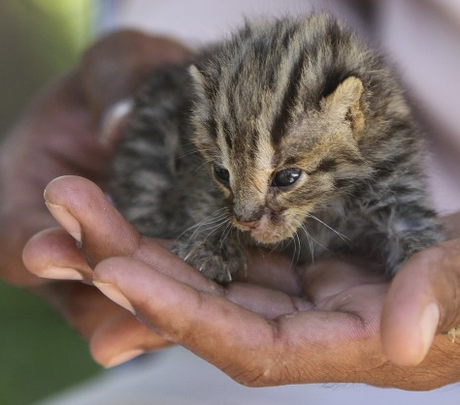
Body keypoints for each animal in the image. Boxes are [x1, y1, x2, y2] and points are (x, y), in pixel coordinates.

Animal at [109, 14, 444, 282]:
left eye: (287, 178)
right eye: (221, 173)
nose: (246, 220)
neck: (324, 204)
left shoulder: (394, 174)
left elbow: (412, 225)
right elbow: (201, 199)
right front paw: (211, 246)